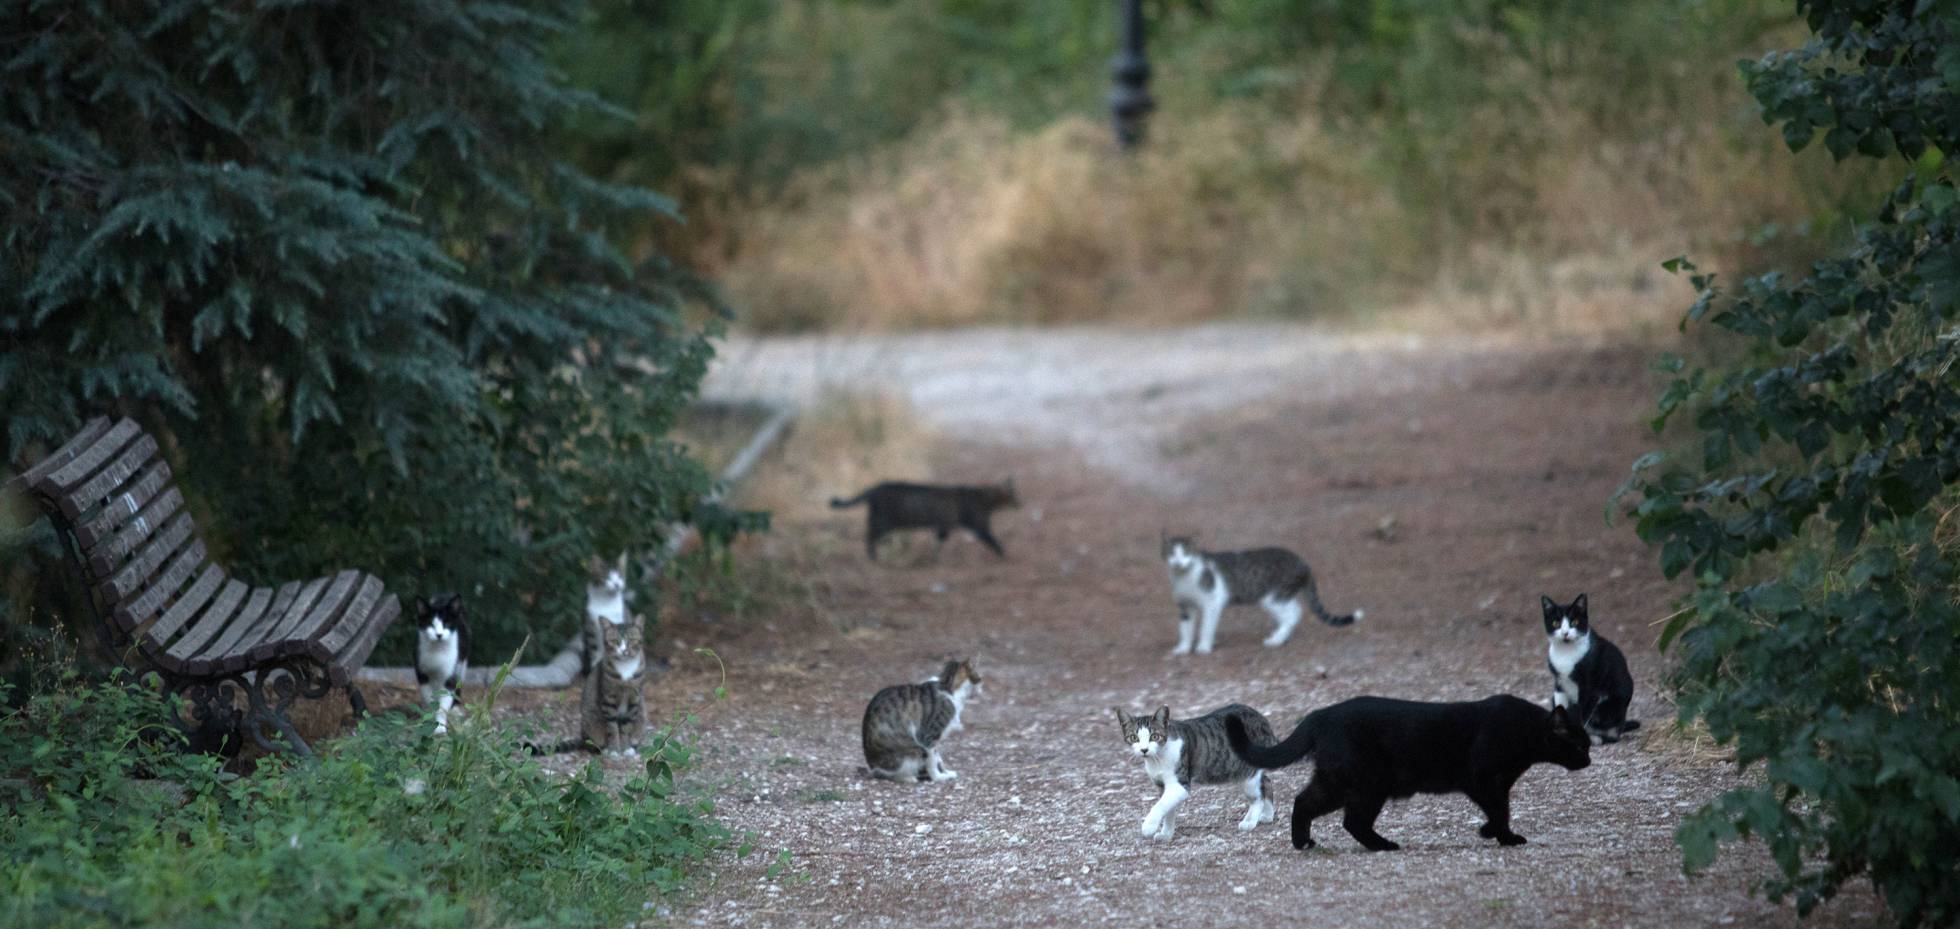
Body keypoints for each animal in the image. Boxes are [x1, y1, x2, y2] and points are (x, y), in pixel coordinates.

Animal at [827, 478, 1019, 560]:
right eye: (1014, 496)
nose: (1021, 503)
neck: (985, 497)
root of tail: (877, 486)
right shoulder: (979, 525)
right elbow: (993, 540)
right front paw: (1003, 553)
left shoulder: (944, 525)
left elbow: (939, 541)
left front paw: (934, 556)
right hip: (885, 521)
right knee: (870, 535)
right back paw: (873, 555)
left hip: (881, 520)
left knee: (871, 533)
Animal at [1121, 705, 1285, 842]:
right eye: (1134, 738)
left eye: (1154, 736)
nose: (1144, 750)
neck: (1157, 759)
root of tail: (1262, 720)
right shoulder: (1162, 786)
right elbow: (1168, 810)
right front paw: (1166, 834)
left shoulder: (1179, 785)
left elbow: (1160, 805)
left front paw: (1148, 826)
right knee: (1266, 781)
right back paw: (1267, 815)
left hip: (1247, 774)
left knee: (1258, 796)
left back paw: (1250, 821)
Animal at [1160, 533, 1364, 658]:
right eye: (1171, 554)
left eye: (1186, 553)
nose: (1178, 562)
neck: (1184, 577)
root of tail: (1303, 563)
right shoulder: (1185, 607)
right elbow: (1185, 629)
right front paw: (1184, 648)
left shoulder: (1212, 603)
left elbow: (1206, 627)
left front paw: (1203, 646)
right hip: (1279, 597)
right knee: (1295, 610)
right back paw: (1281, 637)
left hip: (1272, 597)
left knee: (1293, 614)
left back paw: (1276, 640)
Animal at [1223, 697, 1591, 850]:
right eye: (1577, 744)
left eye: (1588, 743)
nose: (1588, 760)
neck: (1525, 732)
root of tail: (1320, 714)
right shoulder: (1483, 779)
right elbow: (1501, 810)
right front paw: (1499, 835)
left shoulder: (1496, 784)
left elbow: (1502, 809)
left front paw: (1498, 835)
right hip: (1362, 783)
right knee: (1347, 819)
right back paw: (1383, 846)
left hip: (1342, 782)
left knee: (1309, 804)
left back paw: (1306, 843)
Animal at [1544, 595, 1638, 748]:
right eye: (1556, 623)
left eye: (1574, 622)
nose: (1565, 633)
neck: (1565, 653)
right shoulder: (1559, 682)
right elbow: (1560, 706)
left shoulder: (1590, 687)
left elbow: (1583, 712)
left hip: (1613, 704)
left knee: (1612, 735)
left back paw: (1596, 738)